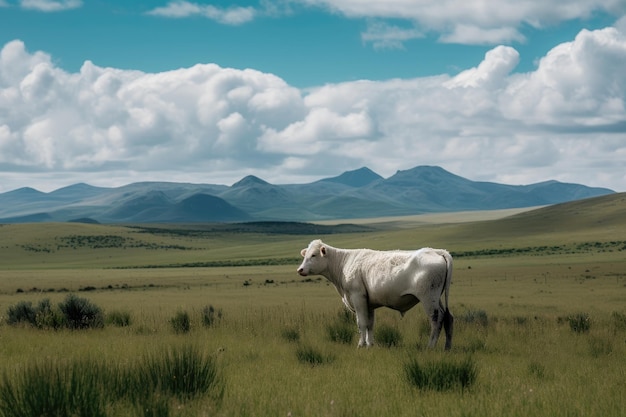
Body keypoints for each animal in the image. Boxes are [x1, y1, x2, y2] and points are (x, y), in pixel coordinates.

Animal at [298, 239, 454, 350]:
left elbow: (361, 323)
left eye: (314, 255)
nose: (300, 269)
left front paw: (360, 345)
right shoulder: (369, 303)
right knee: (448, 317)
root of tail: (437, 251)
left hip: (429, 297)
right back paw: (447, 347)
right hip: (437, 298)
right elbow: (370, 324)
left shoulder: (357, 297)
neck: (344, 263)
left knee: (436, 318)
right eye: (305, 255)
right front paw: (370, 344)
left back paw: (430, 346)